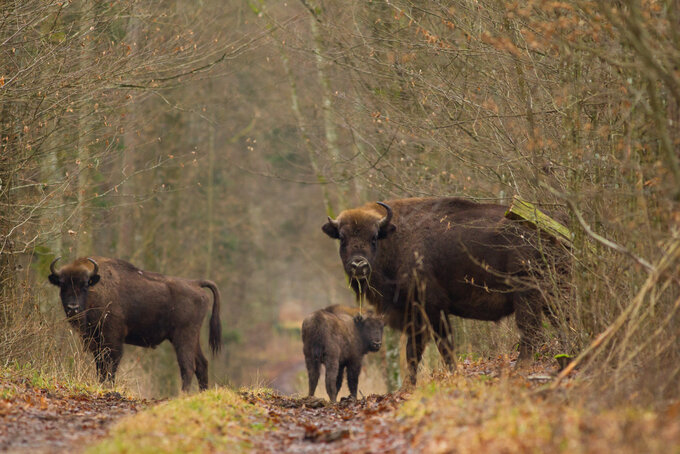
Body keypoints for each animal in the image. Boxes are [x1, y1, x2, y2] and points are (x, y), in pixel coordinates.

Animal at [48, 255, 223, 390]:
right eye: (62, 284)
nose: (73, 307)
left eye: (85, 285)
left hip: (183, 337)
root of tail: (195, 283)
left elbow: (110, 364)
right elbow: (100, 364)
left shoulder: (112, 339)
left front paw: (108, 387)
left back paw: (183, 395)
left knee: (188, 367)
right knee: (202, 364)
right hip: (193, 337)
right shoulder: (96, 340)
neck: (96, 287)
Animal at [322, 197, 564, 384]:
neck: (395, 239)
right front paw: (409, 386)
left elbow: (443, 346)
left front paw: (454, 375)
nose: (359, 265)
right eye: (342, 238)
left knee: (531, 333)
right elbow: (413, 352)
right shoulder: (415, 314)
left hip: (527, 296)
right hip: (551, 296)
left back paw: (520, 369)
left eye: (373, 237)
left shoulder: (433, 308)